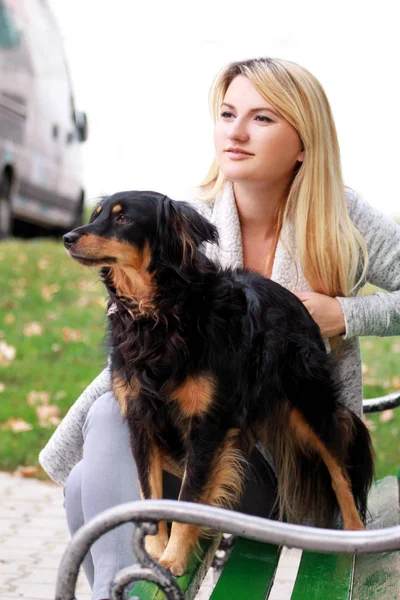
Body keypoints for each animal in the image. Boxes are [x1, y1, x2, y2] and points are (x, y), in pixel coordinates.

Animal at [63, 190, 376, 576]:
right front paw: (155, 553)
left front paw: (173, 559)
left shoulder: (206, 426)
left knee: (339, 470)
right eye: (96, 214)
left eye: (123, 219)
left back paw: (355, 535)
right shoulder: (140, 421)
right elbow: (149, 494)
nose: (67, 238)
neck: (160, 312)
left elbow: (189, 497)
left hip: (310, 404)